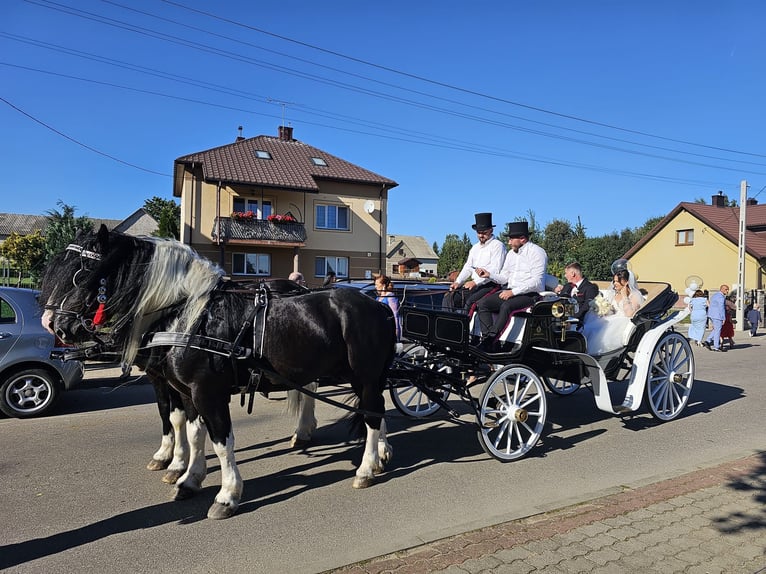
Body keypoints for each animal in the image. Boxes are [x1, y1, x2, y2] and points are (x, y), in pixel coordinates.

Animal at [41, 226, 396, 520]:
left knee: (372, 413)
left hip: (364, 375)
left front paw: (226, 495)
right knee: (374, 409)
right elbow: (191, 430)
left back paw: (366, 468)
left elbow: (221, 441)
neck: (188, 316)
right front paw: (187, 476)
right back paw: (373, 453)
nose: (56, 325)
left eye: (82, 272)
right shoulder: (184, 390)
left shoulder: (207, 392)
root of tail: (377, 305)